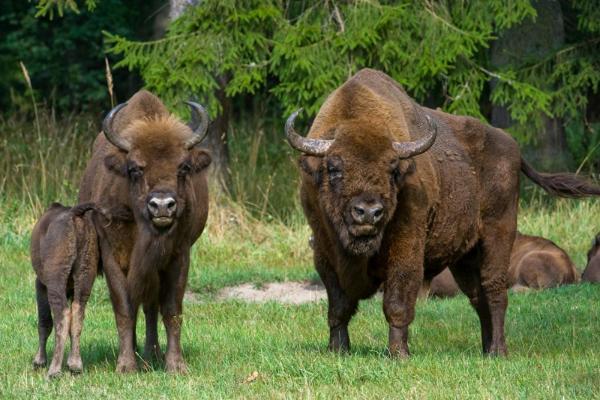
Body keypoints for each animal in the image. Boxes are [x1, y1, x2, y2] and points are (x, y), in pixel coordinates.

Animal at [31, 203, 130, 378]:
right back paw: (75, 365)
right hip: (85, 274)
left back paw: (54, 370)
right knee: (78, 313)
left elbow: (44, 322)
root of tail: (74, 213)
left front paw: (39, 361)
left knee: (62, 317)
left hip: (56, 280)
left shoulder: (41, 284)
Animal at [78, 92, 212, 374]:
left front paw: (176, 365)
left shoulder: (178, 258)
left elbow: (171, 310)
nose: (162, 205)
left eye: (183, 167)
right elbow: (124, 310)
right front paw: (126, 365)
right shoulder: (113, 259)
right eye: (135, 168)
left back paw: (152, 353)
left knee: (151, 307)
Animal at [284, 68, 600, 356]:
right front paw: (338, 350)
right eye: (334, 167)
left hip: (499, 233)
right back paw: (485, 350)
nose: (369, 212)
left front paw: (399, 354)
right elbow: (338, 307)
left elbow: (397, 304)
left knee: (495, 291)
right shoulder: (324, 253)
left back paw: (498, 351)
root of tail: (515, 149)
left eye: (392, 169)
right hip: (465, 257)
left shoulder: (406, 250)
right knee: (477, 297)